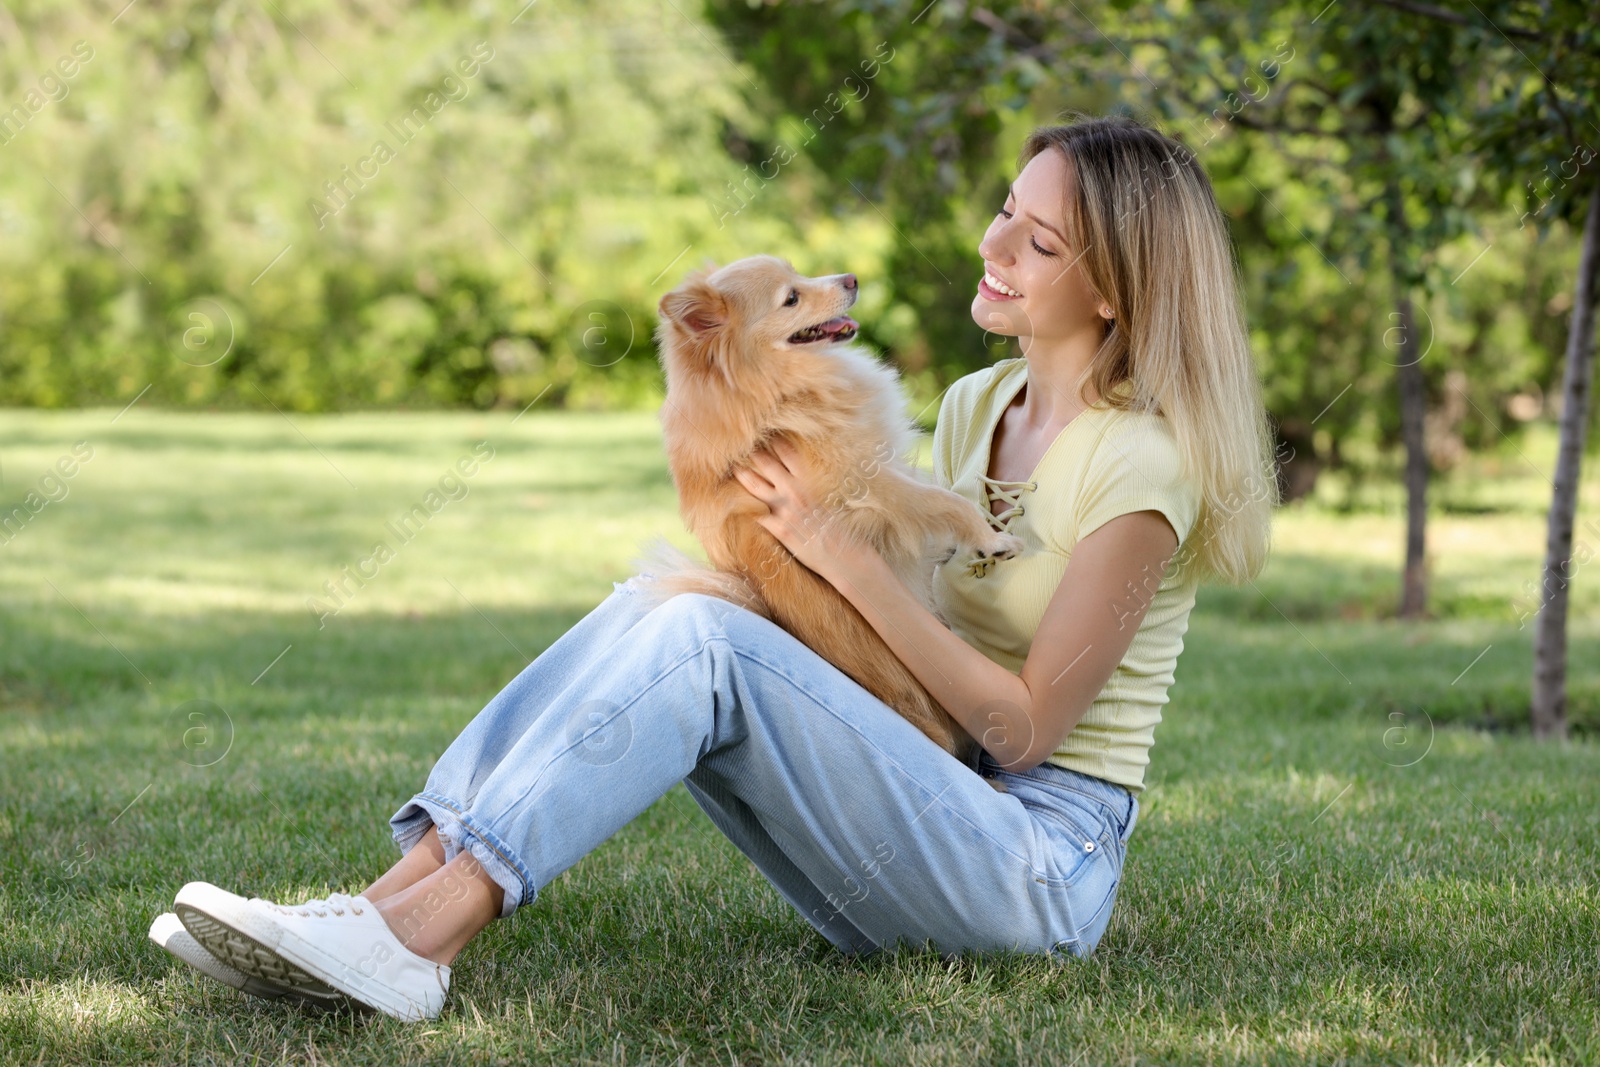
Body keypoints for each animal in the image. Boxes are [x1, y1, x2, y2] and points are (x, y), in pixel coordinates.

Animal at [630, 254, 1017, 764]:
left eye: (797, 271)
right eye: (791, 299)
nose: (851, 278)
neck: (781, 394)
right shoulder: (874, 488)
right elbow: (947, 503)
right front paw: (991, 539)